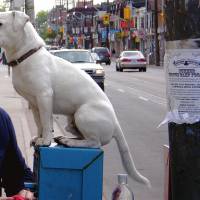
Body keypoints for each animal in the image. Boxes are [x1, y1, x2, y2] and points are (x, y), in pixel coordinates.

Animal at [0, 10, 150, 186]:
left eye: (0, 23)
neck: (26, 56)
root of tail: (116, 124)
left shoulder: (44, 96)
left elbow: (46, 123)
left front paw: (45, 141)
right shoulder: (34, 102)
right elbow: (39, 123)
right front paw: (39, 137)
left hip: (83, 114)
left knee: (94, 143)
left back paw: (70, 142)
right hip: (72, 122)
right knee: (83, 136)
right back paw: (65, 138)